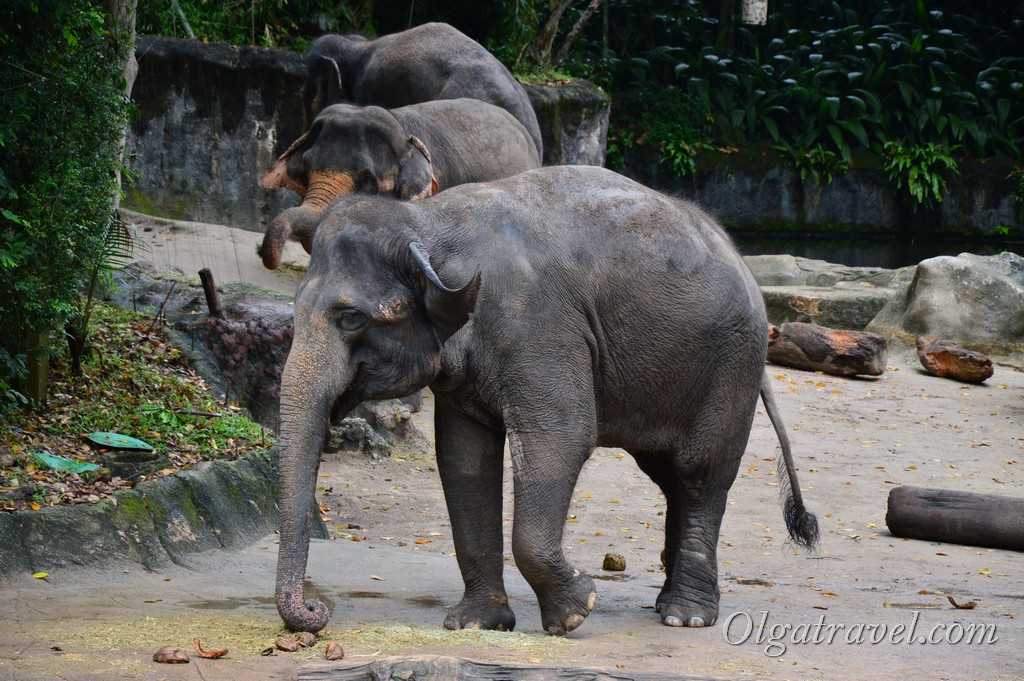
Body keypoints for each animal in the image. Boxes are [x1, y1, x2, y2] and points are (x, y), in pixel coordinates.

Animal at [272, 166, 815, 634]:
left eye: (351, 319)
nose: (318, 609)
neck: (427, 222)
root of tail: (738, 257)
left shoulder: (537, 325)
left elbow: (559, 439)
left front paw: (576, 610)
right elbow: (463, 458)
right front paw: (477, 625)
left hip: (730, 364)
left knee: (701, 472)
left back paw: (686, 616)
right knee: (669, 475)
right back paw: (670, 600)